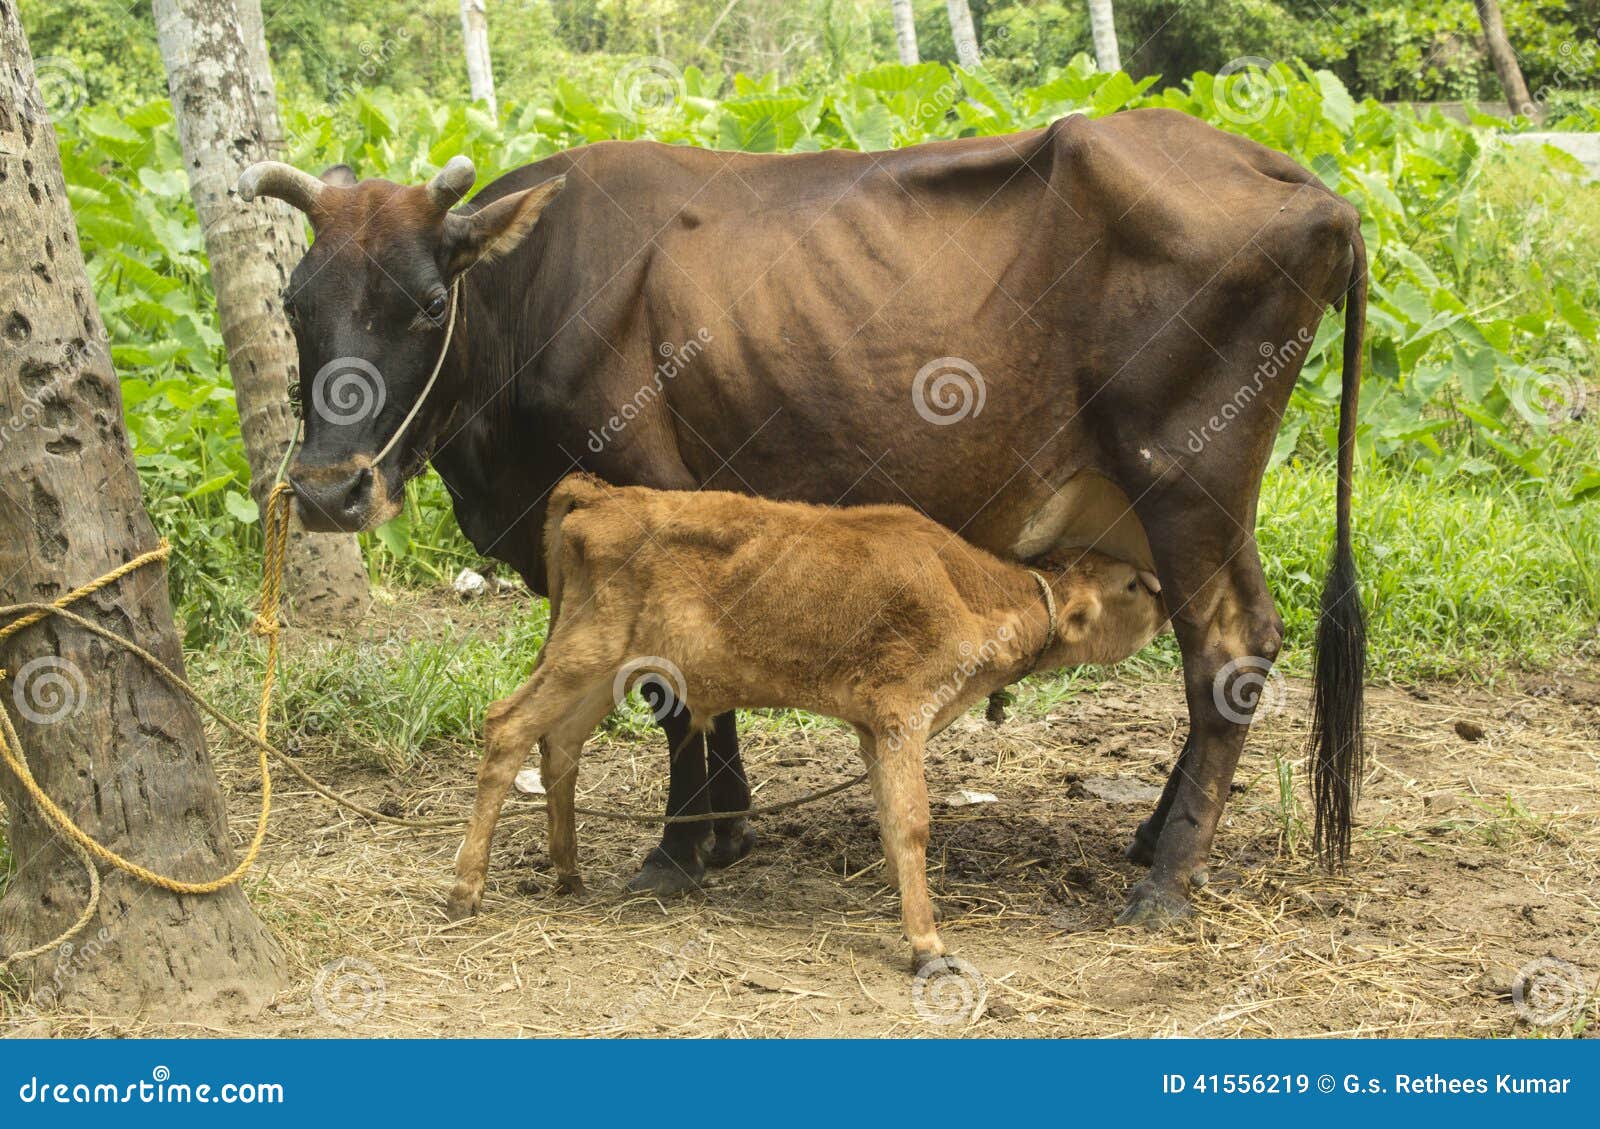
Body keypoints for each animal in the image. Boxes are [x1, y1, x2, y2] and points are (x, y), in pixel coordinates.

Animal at [445, 473, 1169, 965]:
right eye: (1132, 585)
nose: (1167, 601)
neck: (974, 593)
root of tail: (602, 494)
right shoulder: (903, 711)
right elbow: (912, 823)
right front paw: (927, 942)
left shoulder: (874, 728)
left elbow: (888, 819)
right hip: (586, 651)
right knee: (508, 726)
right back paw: (465, 890)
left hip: (603, 665)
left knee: (560, 743)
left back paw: (567, 871)